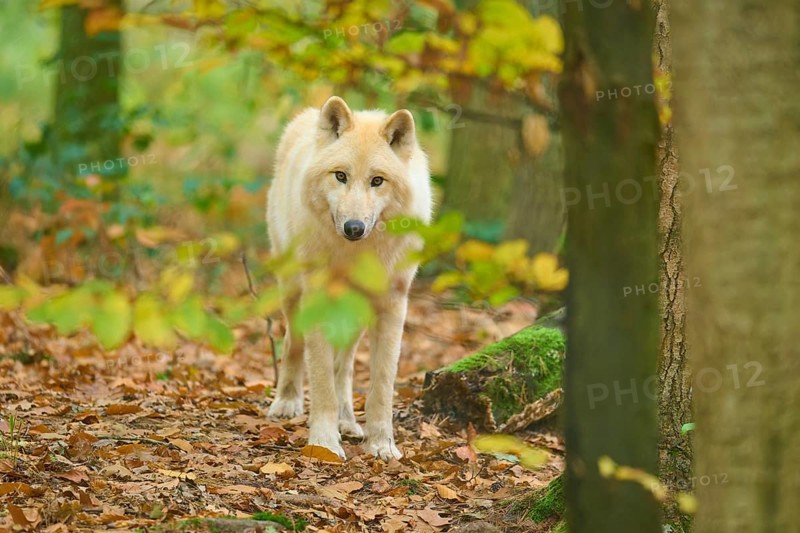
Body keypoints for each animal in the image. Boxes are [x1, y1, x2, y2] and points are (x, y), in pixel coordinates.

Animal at [266, 96, 433, 460]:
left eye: (377, 181)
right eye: (340, 175)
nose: (353, 228)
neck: (356, 256)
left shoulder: (393, 306)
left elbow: (381, 386)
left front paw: (382, 445)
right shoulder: (316, 299)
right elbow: (321, 383)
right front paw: (324, 443)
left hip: (357, 312)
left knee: (344, 367)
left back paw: (347, 420)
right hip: (292, 292)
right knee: (293, 343)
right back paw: (286, 402)